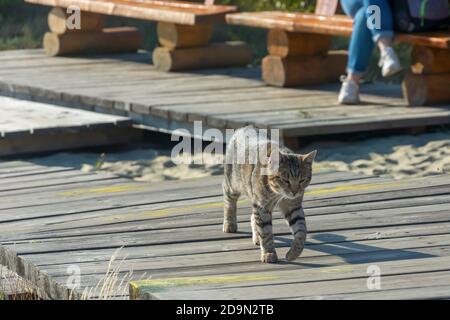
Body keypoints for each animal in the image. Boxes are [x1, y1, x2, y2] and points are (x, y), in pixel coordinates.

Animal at [222, 126, 316, 264]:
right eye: (285, 180)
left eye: (302, 180)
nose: (294, 191)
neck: (278, 194)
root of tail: (244, 127)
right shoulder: (262, 207)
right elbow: (266, 232)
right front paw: (269, 253)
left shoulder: (293, 206)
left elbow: (301, 230)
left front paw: (294, 253)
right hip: (233, 184)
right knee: (229, 201)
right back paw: (229, 223)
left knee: (253, 217)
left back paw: (256, 237)